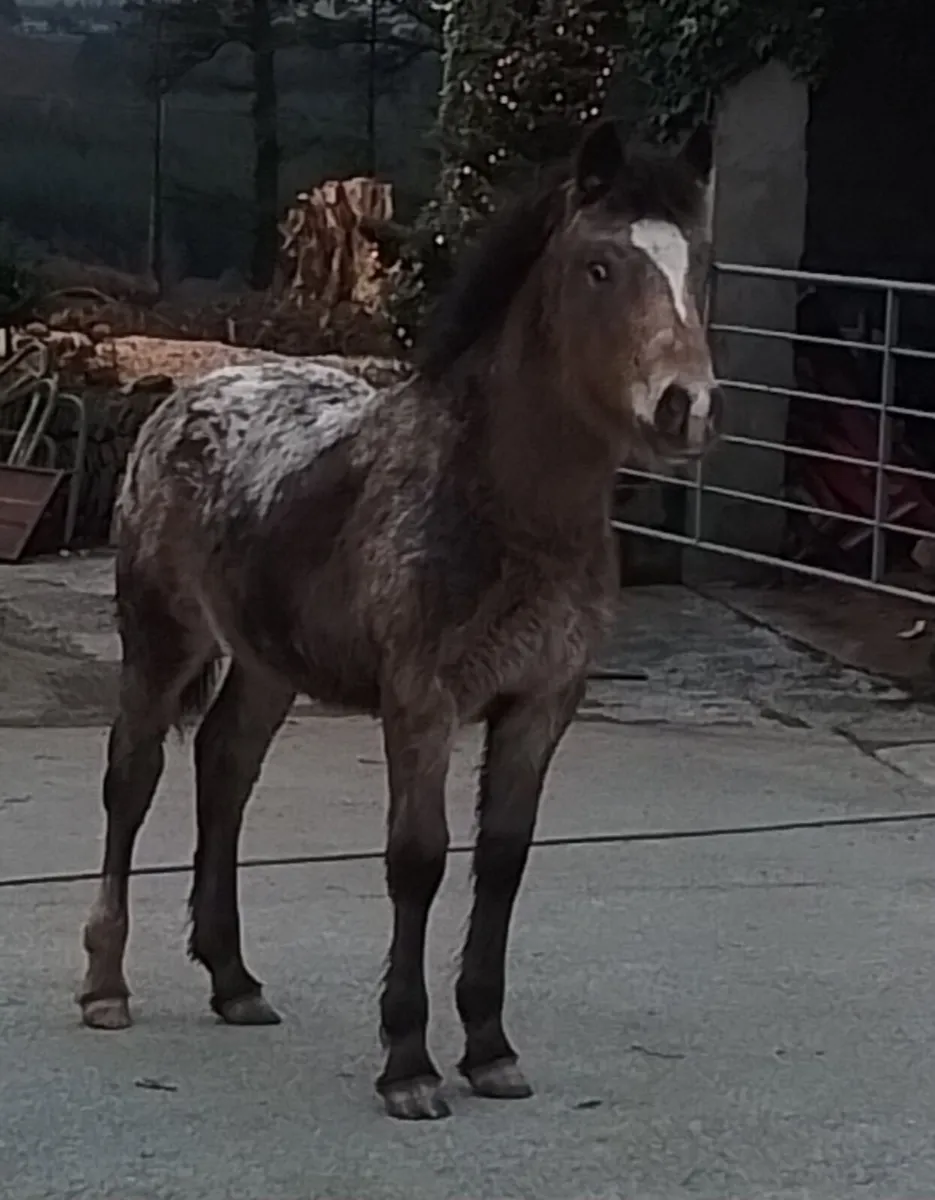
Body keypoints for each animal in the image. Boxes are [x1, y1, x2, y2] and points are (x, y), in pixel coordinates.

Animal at [77, 118, 720, 1120]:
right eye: (599, 267)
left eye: (701, 266)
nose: (682, 407)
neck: (497, 499)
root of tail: (187, 394)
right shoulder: (422, 700)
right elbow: (417, 860)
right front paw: (409, 1064)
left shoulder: (542, 702)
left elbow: (501, 860)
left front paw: (490, 1049)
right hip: (162, 636)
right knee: (132, 778)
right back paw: (106, 986)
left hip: (266, 661)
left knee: (226, 768)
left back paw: (233, 980)